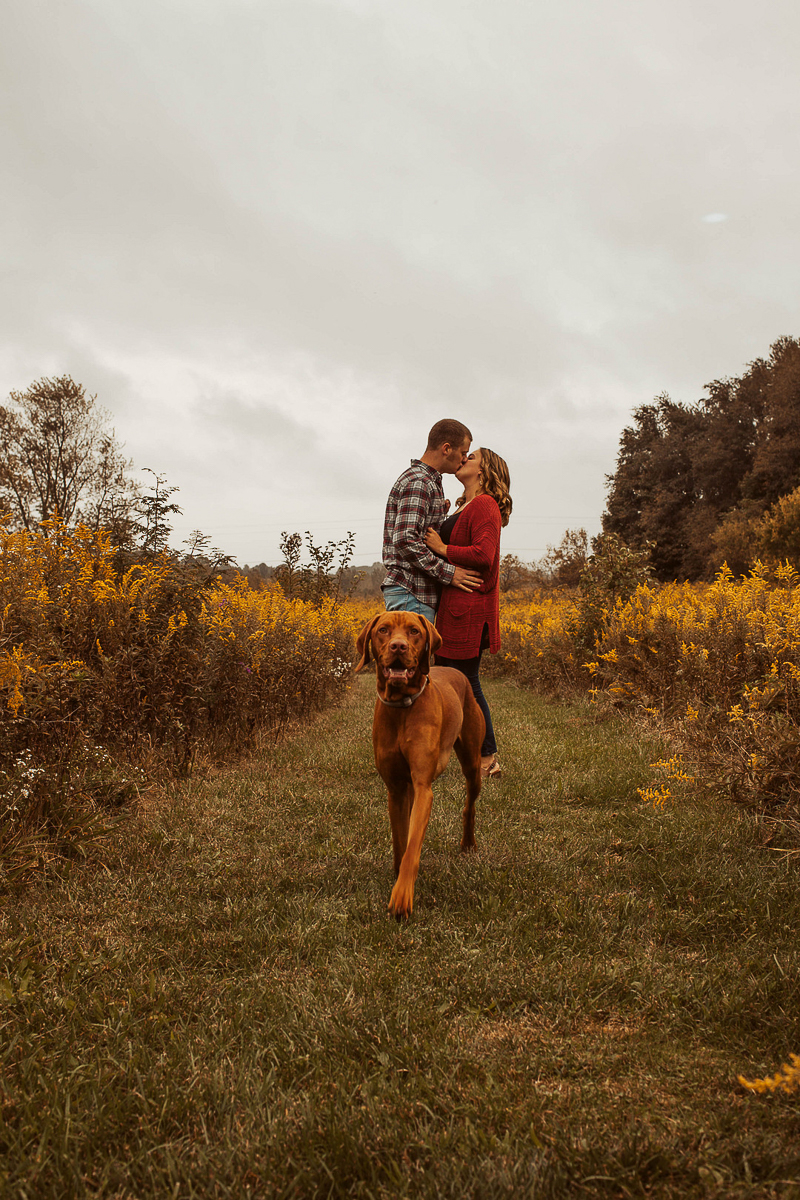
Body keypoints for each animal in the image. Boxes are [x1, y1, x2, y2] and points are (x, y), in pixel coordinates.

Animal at [357, 609, 484, 916]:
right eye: (383, 630)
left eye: (414, 631)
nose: (398, 647)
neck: (402, 707)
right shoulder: (395, 789)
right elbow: (400, 839)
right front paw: (397, 875)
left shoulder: (424, 786)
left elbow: (413, 844)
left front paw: (403, 895)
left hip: (473, 765)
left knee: (470, 806)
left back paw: (468, 843)